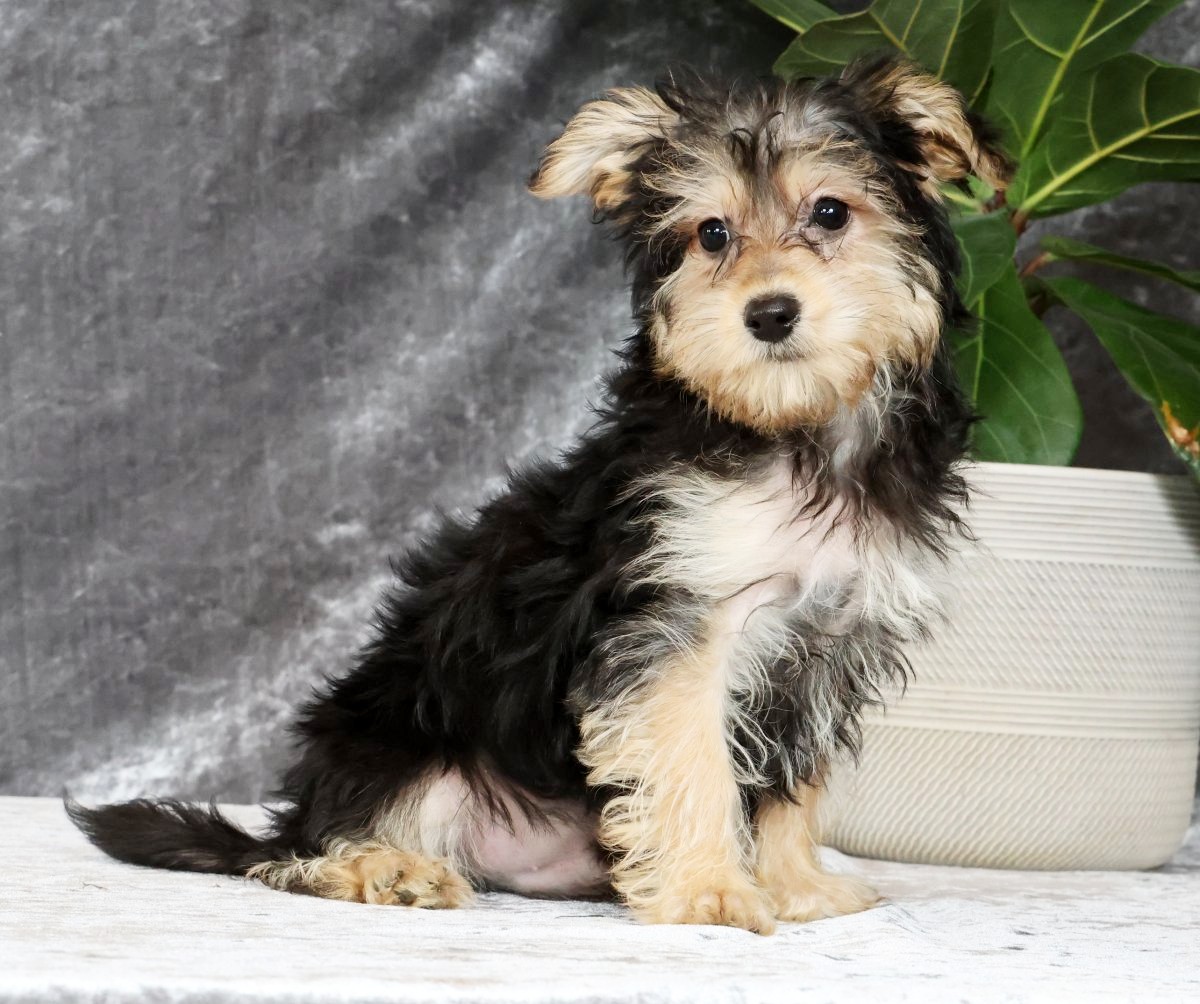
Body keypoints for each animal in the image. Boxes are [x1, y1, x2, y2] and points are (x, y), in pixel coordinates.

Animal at [69, 55, 1010, 935]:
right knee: (301, 853)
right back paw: (386, 869)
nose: (769, 313)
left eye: (831, 214)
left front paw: (794, 884)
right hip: (404, 748)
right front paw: (710, 893)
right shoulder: (681, 626)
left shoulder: (828, 642)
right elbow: (696, 762)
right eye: (711, 234)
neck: (795, 431)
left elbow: (788, 779)